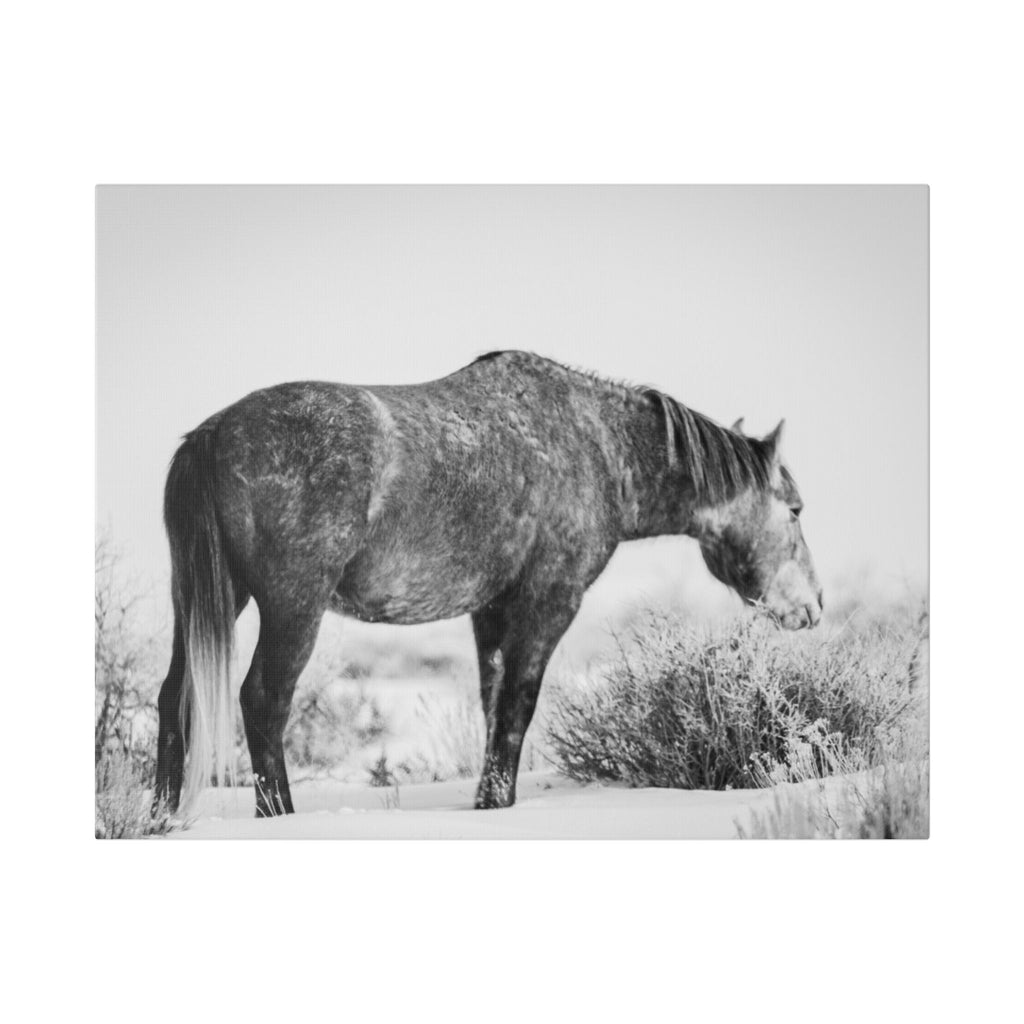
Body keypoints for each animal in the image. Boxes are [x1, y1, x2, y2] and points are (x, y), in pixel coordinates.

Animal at [156, 350, 822, 818]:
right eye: (794, 509)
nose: (812, 606)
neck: (597, 446)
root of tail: (211, 434)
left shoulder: (491, 611)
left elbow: (493, 705)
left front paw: (488, 802)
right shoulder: (549, 602)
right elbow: (517, 708)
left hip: (206, 600)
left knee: (174, 698)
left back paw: (163, 814)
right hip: (293, 606)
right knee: (263, 701)